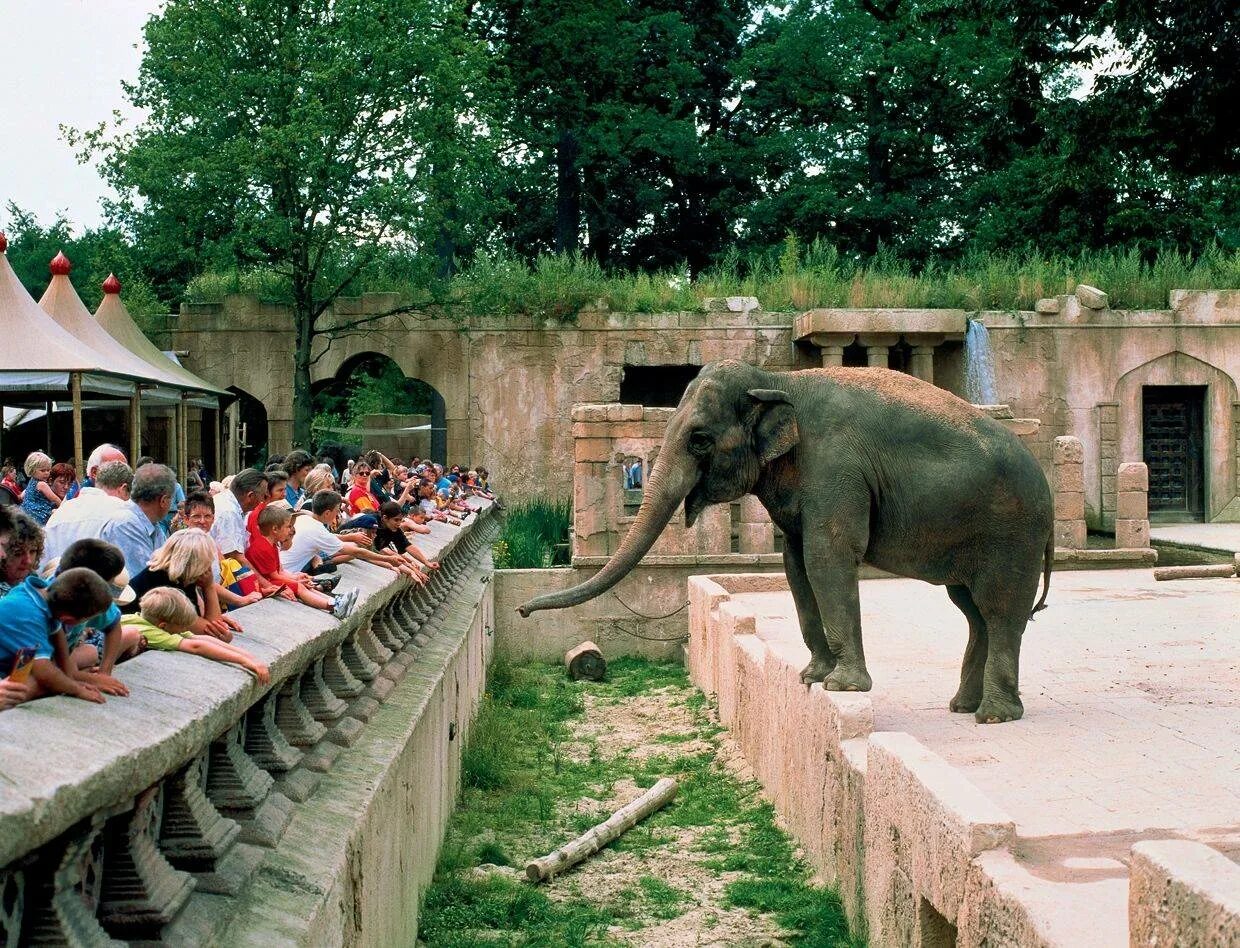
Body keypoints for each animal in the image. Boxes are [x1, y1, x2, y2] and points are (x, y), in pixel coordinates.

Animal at [518, 359, 1051, 718]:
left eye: (699, 440)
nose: (521, 610)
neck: (778, 378)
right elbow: (796, 564)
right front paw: (811, 677)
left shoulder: (837, 470)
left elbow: (827, 556)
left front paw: (843, 688)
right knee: (972, 609)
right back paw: (963, 707)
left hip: (1013, 533)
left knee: (999, 607)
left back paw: (994, 716)